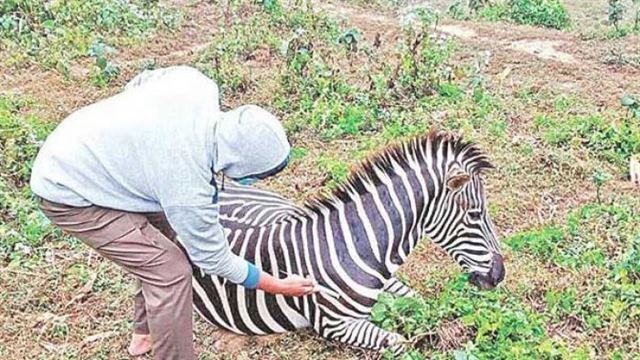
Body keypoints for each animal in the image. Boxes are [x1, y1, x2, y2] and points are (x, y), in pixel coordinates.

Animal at [185, 131, 504, 354]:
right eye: (475, 215)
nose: (499, 276)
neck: (358, 247)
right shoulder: (335, 325)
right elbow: (398, 341)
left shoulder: (389, 284)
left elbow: (420, 304)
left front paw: (454, 327)